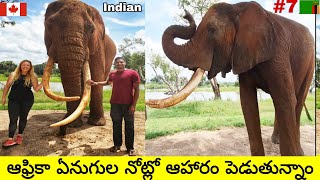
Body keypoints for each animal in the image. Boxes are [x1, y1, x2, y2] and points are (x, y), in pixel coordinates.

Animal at [41, 0, 116, 135]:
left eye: (91, 29)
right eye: (49, 25)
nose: (62, 130)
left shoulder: (98, 44)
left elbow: (97, 74)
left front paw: (97, 124)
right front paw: (73, 124)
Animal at [147, 1, 316, 155]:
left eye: (212, 30)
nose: (185, 14)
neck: (237, 8)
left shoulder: (278, 53)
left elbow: (285, 99)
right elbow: (247, 103)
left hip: (310, 62)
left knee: (297, 100)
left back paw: (298, 150)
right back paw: (275, 141)